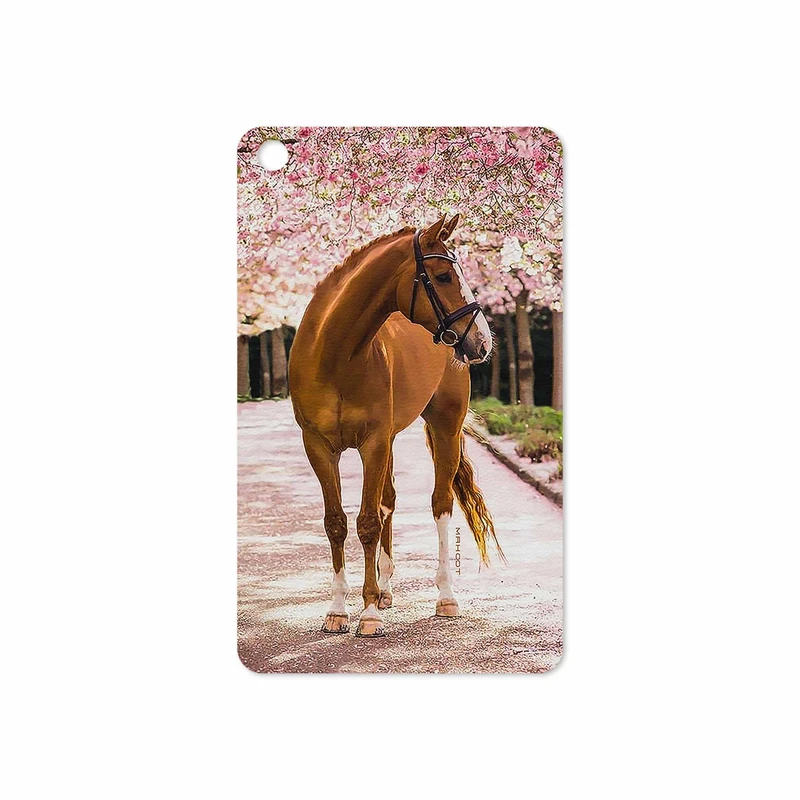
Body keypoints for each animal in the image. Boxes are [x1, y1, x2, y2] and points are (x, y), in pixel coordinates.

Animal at [288, 214, 503, 637]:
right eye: (442, 276)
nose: (483, 341)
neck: (335, 355)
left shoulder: (372, 443)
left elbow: (368, 522)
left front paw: (368, 613)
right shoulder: (319, 447)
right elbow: (337, 522)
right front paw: (338, 610)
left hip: (444, 427)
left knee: (440, 504)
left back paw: (444, 597)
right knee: (388, 500)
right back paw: (386, 590)